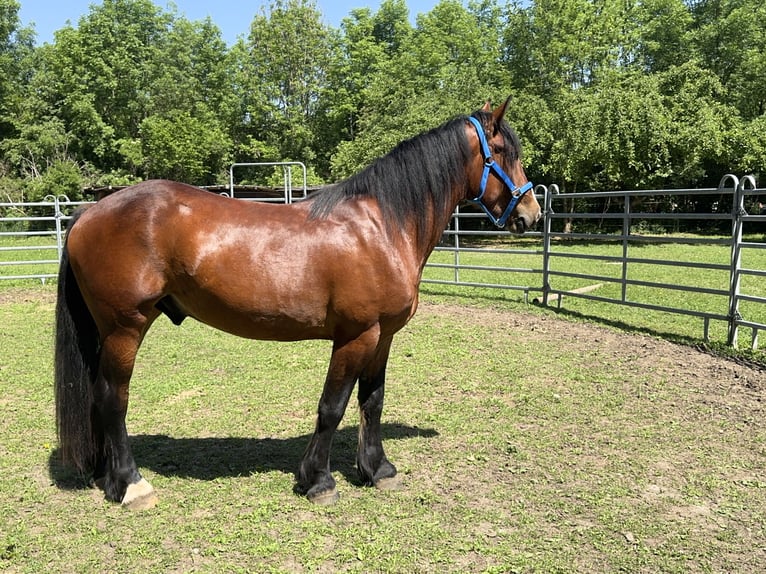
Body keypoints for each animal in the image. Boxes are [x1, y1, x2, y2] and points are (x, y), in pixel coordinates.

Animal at [54, 98, 541, 509]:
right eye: (503, 152)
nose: (531, 214)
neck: (381, 227)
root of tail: (90, 211)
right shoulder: (355, 337)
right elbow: (332, 407)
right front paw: (318, 481)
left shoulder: (382, 337)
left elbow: (372, 401)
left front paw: (378, 470)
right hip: (125, 328)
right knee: (112, 399)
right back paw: (131, 484)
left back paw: (107, 477)